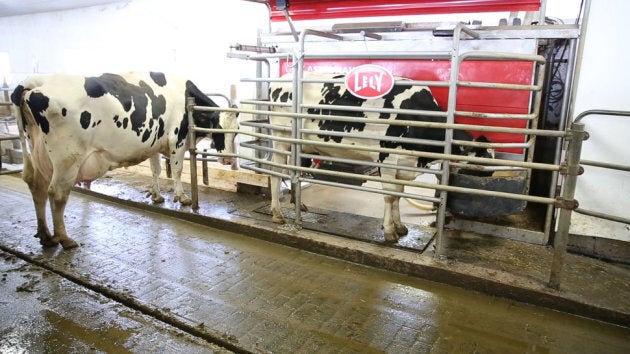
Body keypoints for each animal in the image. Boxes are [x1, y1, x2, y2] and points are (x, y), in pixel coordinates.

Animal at [11, 71, 238, 249]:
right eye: (218, 129)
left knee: (37, 186)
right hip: (67, 159)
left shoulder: (154, 142)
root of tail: (35, 82)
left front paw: (156, 196)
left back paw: (45, 235)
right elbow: (178, 169)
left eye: (235, 132)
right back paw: (64, 239)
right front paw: (182, 197)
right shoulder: (177, 140)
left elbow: (155, 169)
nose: (228, 161)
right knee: (57, 193)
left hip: (38, 151)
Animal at [266, 72, 494, 243]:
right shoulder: (387, 159)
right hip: (281, 137)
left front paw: (400, 226)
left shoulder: (403, 164)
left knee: (293, 170)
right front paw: (389, 231)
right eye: (478, 169)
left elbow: (399, 195)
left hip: (297, 144)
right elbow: (390, 196)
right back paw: (277, 213)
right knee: (275, 172)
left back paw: (298, 204)